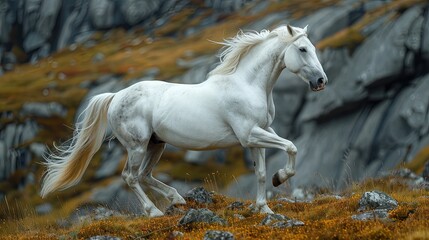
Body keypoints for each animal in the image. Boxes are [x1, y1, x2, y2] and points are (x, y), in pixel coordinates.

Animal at [41, 25, 328, 217]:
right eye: (302, 49)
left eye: (313, 48)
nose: (321, 81)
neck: (247, 85)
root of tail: (115, 97)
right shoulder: (250, 134)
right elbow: (291, 147)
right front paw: (281, 178)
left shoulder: (260, 133)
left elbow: (260, 173)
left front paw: (265, 208)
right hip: (137, 145)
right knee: (131, 177)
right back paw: (154, 211)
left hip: (156, 144)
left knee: (144, 175)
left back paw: (177, 199)